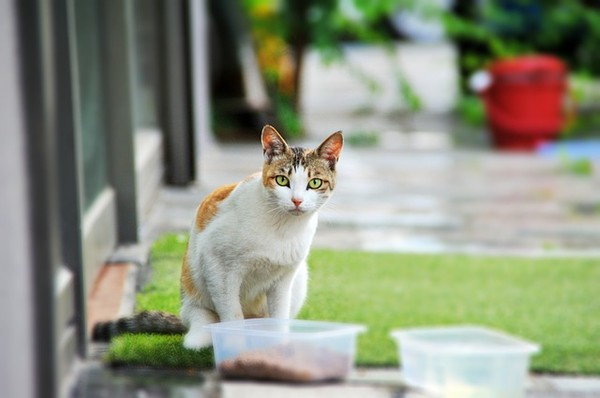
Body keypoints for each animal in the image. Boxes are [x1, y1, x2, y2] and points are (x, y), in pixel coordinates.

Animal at [93, 124, 342, 348]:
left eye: (314, 183)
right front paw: (234, 349)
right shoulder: (219, 269)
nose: (297, 200)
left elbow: (279, 317)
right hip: (195, 299)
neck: (282, 228)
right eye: (282, 180)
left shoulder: (283, 279)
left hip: (299, 281)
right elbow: (232, 316)